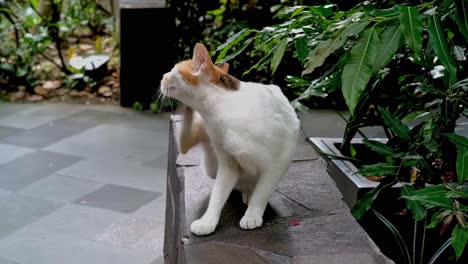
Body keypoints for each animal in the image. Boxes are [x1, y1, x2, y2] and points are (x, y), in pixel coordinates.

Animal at [161, 43, 300, 235]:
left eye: (174, 70)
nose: (163, 76)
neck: (218, 113)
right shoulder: (228, 164)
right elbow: (217, 195)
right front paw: (207, 221)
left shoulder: (276, 164)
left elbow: (262, 193)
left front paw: (252, 216)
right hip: (211, 166)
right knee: (188, 143)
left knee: (255, 188)